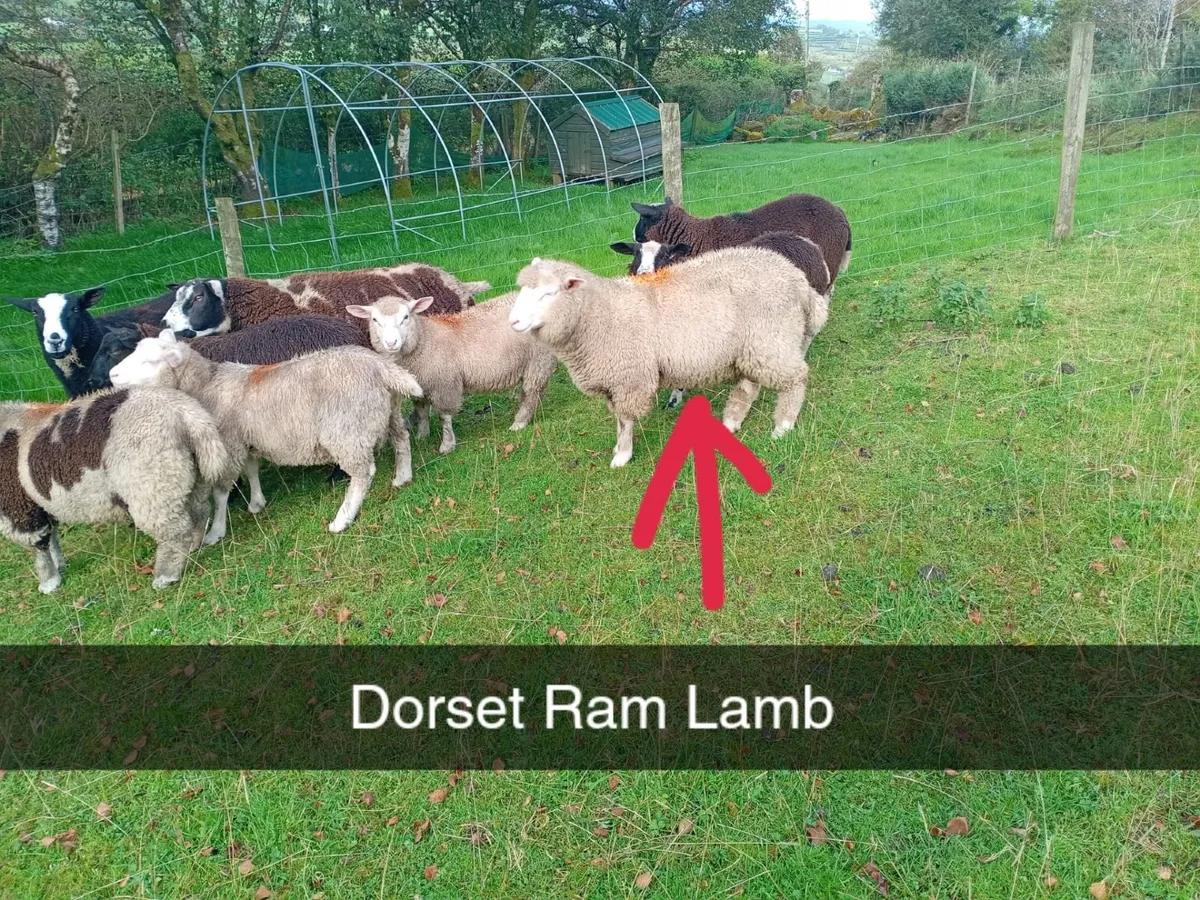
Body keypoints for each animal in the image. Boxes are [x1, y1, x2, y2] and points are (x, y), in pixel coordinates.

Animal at [0, 386, 235, 592]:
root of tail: (189, 417)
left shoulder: (18, 510)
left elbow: (39, 547)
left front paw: (49, 583)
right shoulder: (40, 506)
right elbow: (52, 539)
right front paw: (59, 565)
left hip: (151, 486)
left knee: (174, 532)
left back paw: (166, 577)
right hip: (189, 478)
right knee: (200, 512)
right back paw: (194, 545)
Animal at [109, 333, 424, 538]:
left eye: (149, 361)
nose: (112, 375)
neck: (206, 385)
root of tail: (380, 366)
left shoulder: (229, 443)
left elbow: (221, 492)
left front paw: (216, 532)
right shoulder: (247, 440)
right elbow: (252, 470)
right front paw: (257, 503)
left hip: (347, 429)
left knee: (362, 472)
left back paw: (342, 519)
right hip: (388, 411)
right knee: (402, 439)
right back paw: (403, 476)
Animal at [345, 293, 557, 456]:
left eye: (406, 317)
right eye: (375, 320)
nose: (391, 343)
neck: (424, 341)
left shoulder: (445, 384)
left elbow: (444, 417)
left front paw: (447, 445)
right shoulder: (421, 385)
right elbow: (422, 411)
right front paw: (422, 436)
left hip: (539, 358)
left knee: (532, 391)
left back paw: (519, 422)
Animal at [509, 249, 820, 467]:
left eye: (548, 294)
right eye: (522, 291)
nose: (513, 321)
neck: (599, 315)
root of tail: (798, 279)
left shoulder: (629, 379)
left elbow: (625, 420)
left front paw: (622, 456)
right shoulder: (614, 381)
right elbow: (618, 418)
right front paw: (619, 448)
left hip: (772, 339)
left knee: (796, 379)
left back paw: (783, 426)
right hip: (752, 347)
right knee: (749, 385)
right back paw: (731, 422)